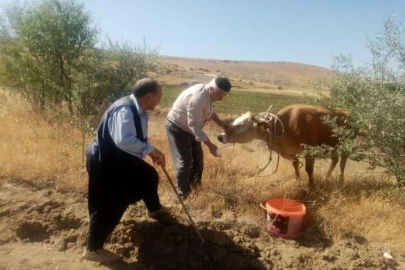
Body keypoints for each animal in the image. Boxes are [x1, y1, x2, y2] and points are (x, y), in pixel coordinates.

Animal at [216, 104, 348, 186]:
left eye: (242, 124)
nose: (220, 136)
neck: (285, 126)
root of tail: (344, 112)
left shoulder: (310, 150)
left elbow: (309, 169)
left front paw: (311, 185)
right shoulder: (290, 152)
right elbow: (295, 165)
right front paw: (298, 180)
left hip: (345, 146)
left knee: (342, 163)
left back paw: (341, 181)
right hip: (333, 145)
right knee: (335, 160)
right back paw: (326, 180)